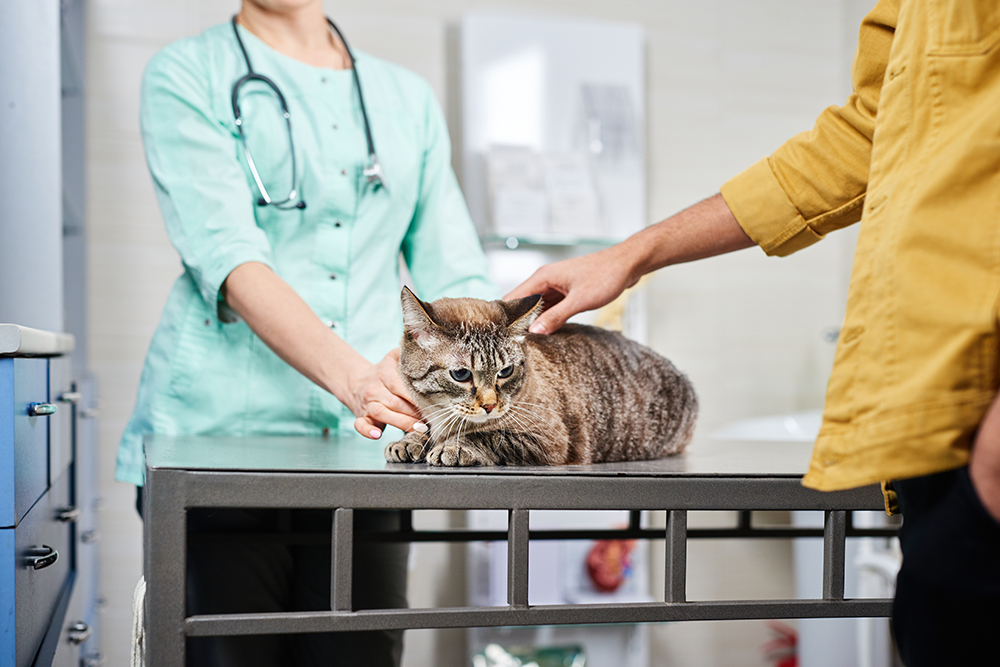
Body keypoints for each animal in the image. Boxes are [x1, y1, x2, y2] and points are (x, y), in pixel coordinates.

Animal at [386, 288, 700, 470]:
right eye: (461, 374)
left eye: (505, 372)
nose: (490, 406)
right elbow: (423, 430)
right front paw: (410, 441)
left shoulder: (548, 440)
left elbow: (487, 435)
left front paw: (453, 446)